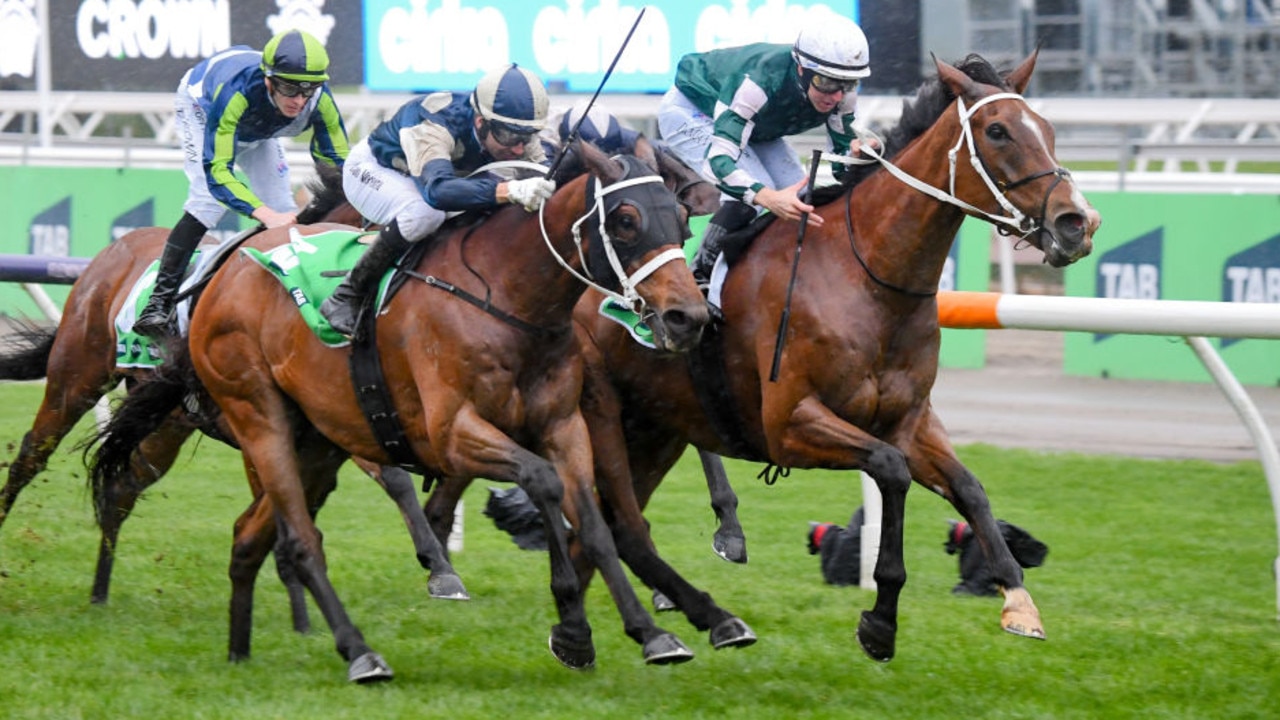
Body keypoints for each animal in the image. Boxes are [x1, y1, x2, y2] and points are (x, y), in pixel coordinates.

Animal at [0, 165, 468, 620]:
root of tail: (111, 253)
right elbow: (384, 481)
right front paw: (437, 568)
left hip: (166, 424)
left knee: (121, 486)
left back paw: (100, 594)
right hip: (76, 377)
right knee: (32, 454)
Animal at [87, 139, 732, 676]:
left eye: (681, 220)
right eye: (625, 221)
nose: (688, 317)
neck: (509, 299)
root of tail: (220, 275)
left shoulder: (563, 424)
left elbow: (598, 524)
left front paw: (650, 632)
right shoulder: (449, 434)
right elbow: (542, 483)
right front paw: (572, 625)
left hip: (314, 439)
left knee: (250, 533)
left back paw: (240, 650)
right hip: (257, 416)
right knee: (297, 539)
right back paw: (358, 651)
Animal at [524, 51, 1095, 661]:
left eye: (1049, 130)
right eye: (997, 131)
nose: (1076, 222)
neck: (868, 277)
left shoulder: (908, 419)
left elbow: (968, 488)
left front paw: (1017, 600)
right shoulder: (791, 424)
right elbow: (890, 471)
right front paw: (880, 621)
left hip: (658, 427)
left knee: (608, 527)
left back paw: (589, 630)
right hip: (601, 416)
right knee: (620, 526)